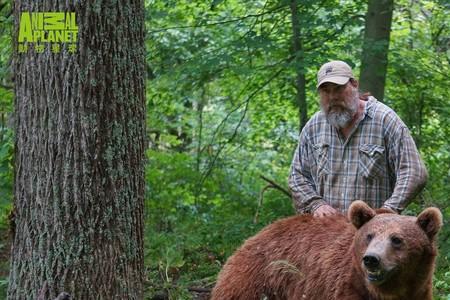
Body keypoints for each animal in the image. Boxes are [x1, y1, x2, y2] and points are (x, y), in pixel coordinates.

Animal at [212, 200, 442, 298]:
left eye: (396, 239)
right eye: (369, 236)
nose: (371, 259)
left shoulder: (419, 291)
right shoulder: (345, 287)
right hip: (256, 281)